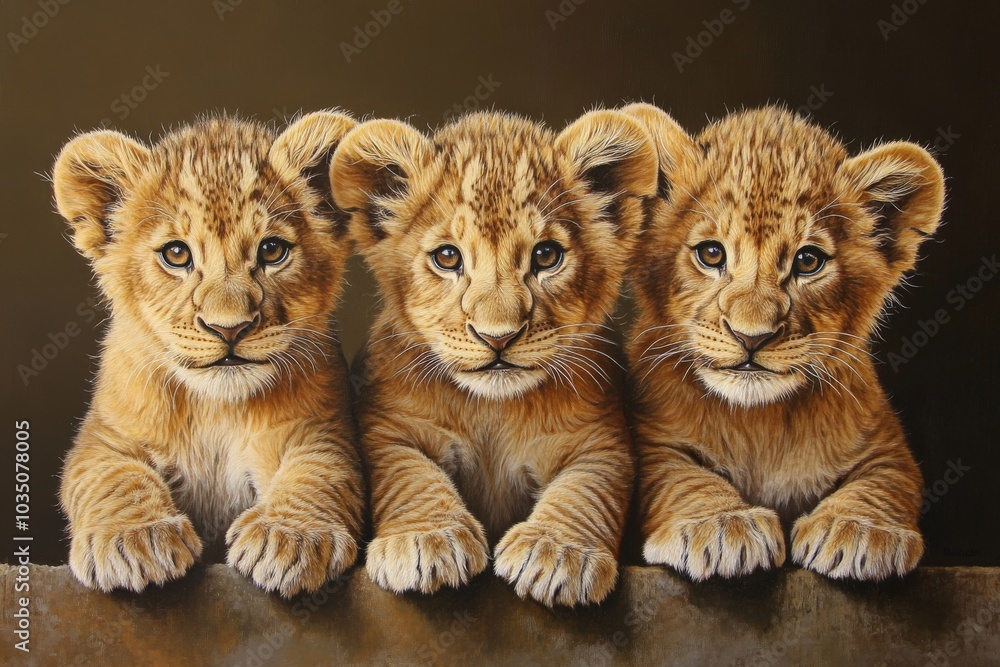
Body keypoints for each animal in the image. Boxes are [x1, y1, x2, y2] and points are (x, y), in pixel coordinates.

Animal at [52, 111, 365, 596]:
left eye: (272, 250)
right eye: (176, 254)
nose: (228, 328)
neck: (215, 409)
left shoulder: (321, 431)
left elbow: (319, 472)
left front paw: (288, 536)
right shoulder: (105, 436)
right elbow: (112, 476)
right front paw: (134, 538)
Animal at [330, 110, 659, 606]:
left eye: (547, 255)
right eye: (448, 257)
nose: (497, 337)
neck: (493, 410)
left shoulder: (602, 440)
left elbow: (585, 489)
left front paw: (558, 553)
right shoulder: (389, 427)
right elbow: (411, 474)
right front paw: (426, 538)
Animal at [623, 103, 945, 581]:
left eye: (808, 261)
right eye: (711, 254)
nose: (751, 336)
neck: (762, 423)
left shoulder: (887, 443)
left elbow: (886, 481)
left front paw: (859, 529)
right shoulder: (650, 439)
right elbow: (680, 475)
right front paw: (721, 526)